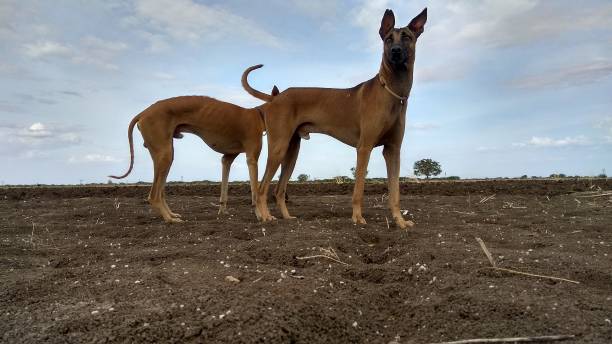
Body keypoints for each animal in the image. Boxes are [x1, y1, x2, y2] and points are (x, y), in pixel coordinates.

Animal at [110, 66, 282, 223]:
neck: (259, 114)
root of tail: (143, 113)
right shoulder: (252, 159)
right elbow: (255, 191)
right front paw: (263, 216)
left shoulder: (227, 159)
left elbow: (224, 190)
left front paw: (222, 212)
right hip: (165, 155)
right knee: (154, 195)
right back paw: (169, 219)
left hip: (165, 155)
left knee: (161, 191)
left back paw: (172, 214)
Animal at [241, 7, 428, 228]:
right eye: (388, 39)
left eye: (407, 37)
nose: (396, 51)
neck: (391, 91)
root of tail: (275, 97)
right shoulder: (364, 147)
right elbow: (359, 190)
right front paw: (357, 218)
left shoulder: (393, 150)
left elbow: (395, 192)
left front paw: (400, 222)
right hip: (279, 147)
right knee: (261, 188)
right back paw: (265, 217)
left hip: (292, 150)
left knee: (279, 189)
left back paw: (286, 217)